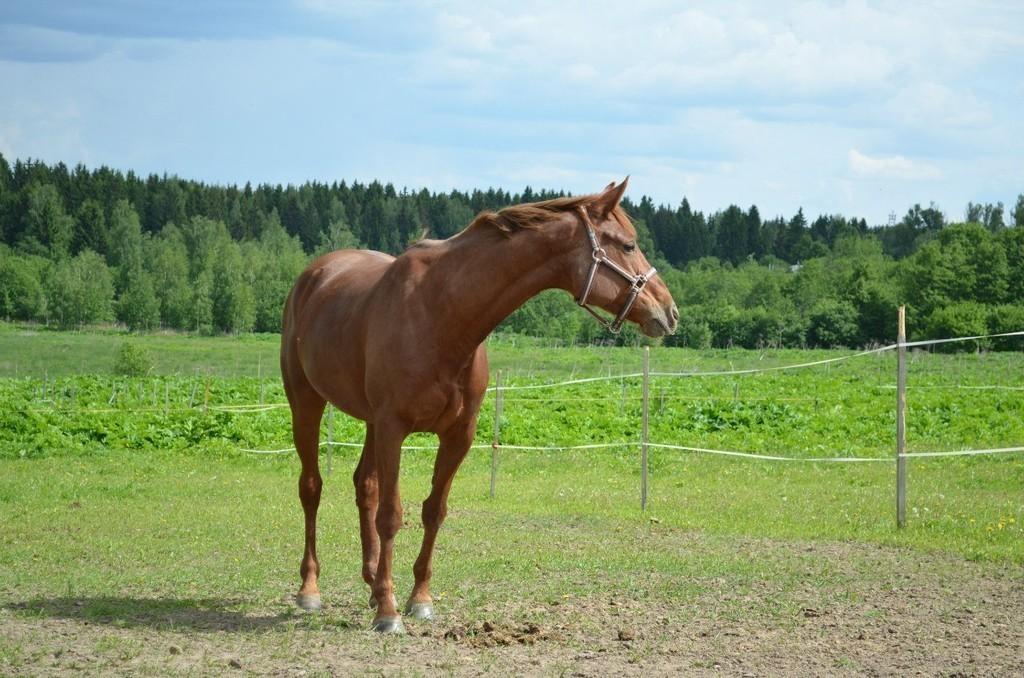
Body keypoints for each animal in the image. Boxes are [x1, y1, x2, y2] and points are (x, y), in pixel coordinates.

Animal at [280, 178, 679, 634]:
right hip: (307, 402)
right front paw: (389, 612)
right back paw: (311, 589)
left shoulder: (457, 435)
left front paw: (418, 599)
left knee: (365, 486)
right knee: (312, 488)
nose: (669, 311)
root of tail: (314, 275)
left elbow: (433, 511)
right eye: (629, 245)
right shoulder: (395, 427)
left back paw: (371, 581)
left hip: (370, 423)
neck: (442, 312)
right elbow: (392, 515)